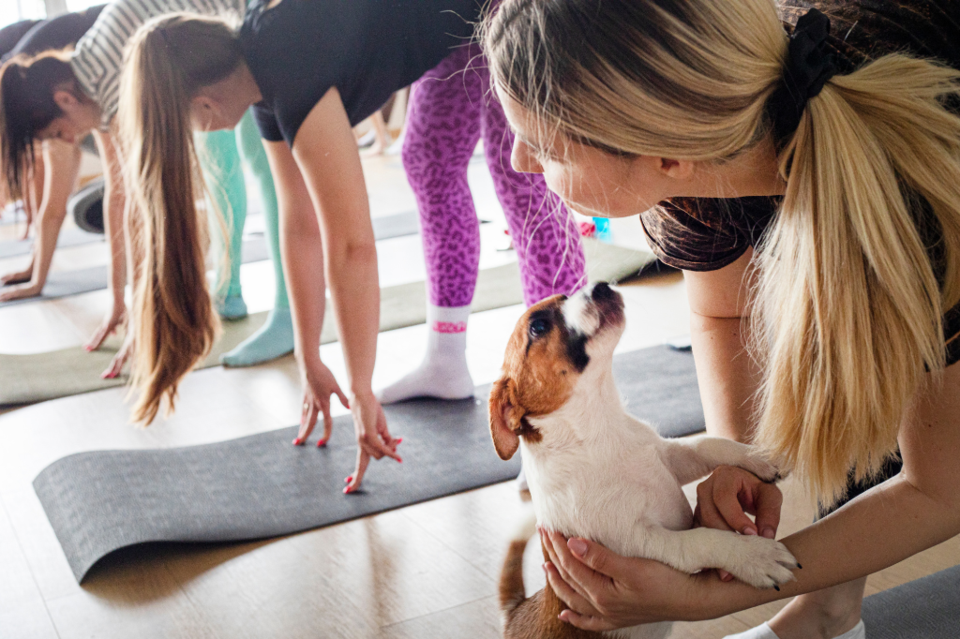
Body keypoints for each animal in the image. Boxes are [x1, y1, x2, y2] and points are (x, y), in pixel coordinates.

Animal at [492, 284, 800, 639]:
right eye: (538, 327)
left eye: (567, 295)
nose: (601, 286)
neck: (598, 434)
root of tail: (513, 613)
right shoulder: (639, 542)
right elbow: (703, 540)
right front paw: (754, 556)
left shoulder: (669, 457)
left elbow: (710, 444)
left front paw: (759, 456)